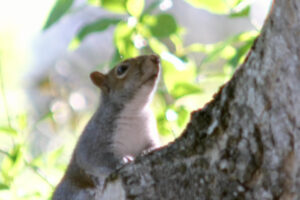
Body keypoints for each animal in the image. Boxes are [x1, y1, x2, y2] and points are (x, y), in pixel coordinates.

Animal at [52, 54, 163, 200]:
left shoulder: (148, 131)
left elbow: (153, 143)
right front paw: (121, 160)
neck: (135, 111)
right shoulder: (94, 139)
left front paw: (149, 149)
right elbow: (96, 159)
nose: (156, 58)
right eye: (121, 69)